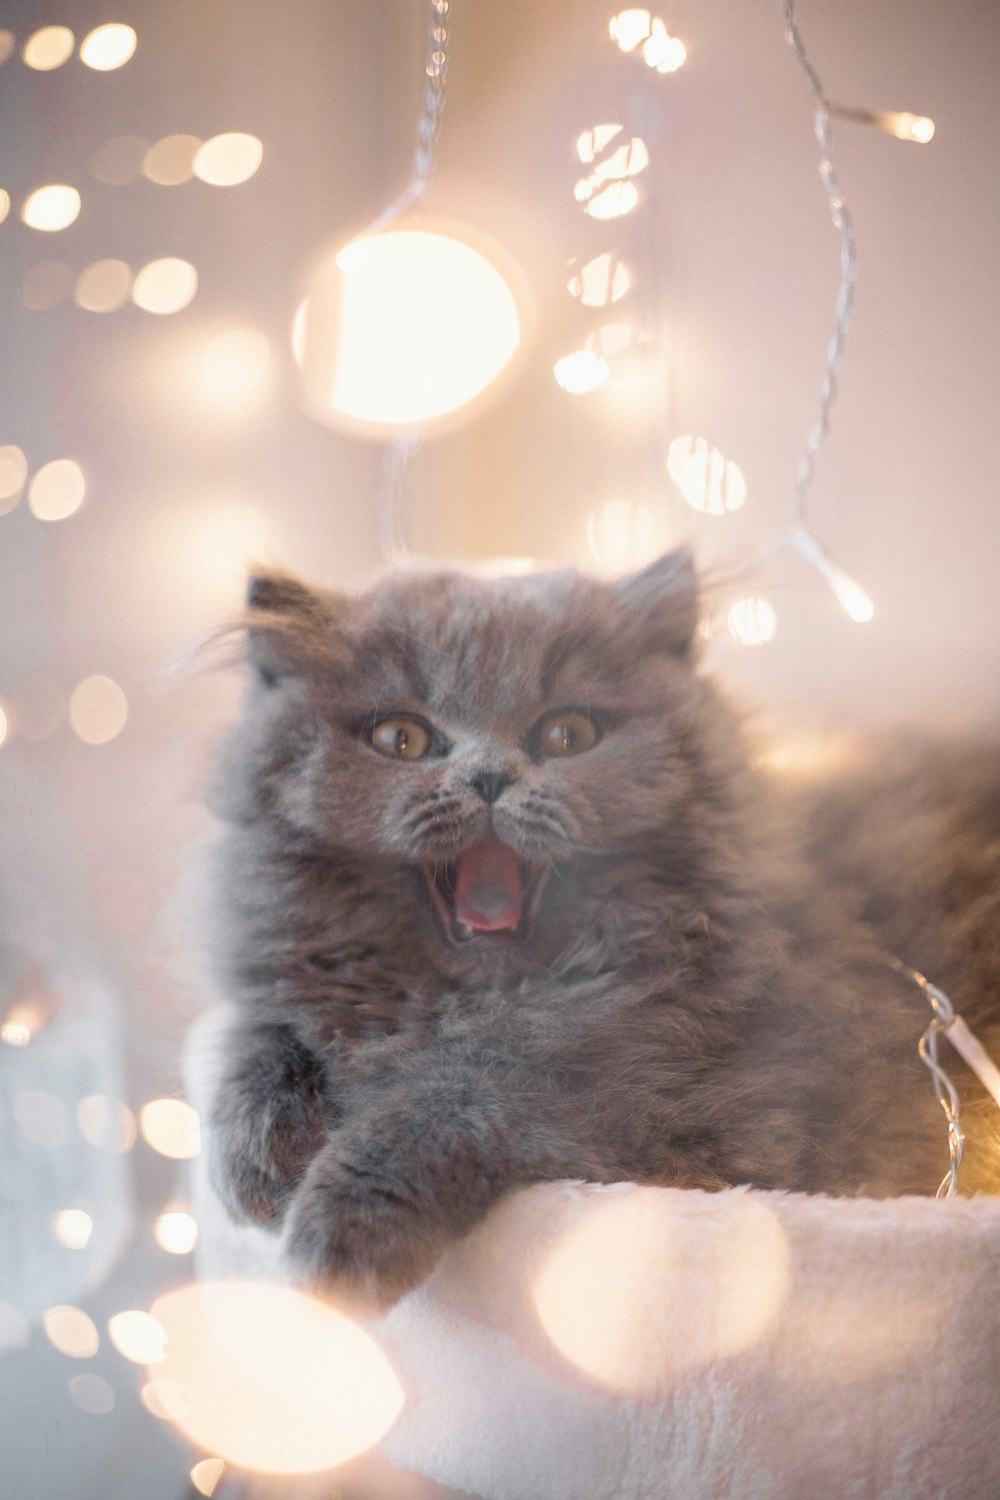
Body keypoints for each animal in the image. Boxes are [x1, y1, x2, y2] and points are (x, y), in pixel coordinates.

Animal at [200, 555, 1000, 1314]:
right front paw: (256, 1160)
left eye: (567, 734)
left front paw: (335, 1241)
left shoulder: (699, 1103)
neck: (477, 1004)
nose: (488, 777)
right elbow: (261, 1029)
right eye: (401, 738)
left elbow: (463, 1096)